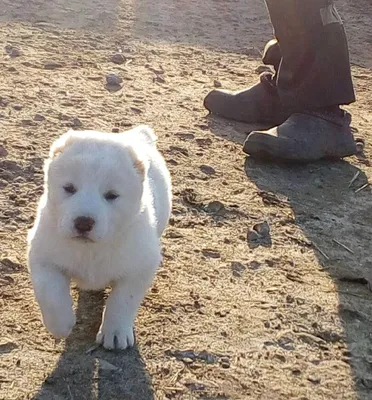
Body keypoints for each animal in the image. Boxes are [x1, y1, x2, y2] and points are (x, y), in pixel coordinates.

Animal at [27, 126, 171, 350]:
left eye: (111, 195)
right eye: (69, 188)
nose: (83, 222)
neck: (91, 249)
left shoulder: (141, 267)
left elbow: (122, 300)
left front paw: (115, 332)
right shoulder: (43, 257)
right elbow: (50, 292)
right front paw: (61, 324)